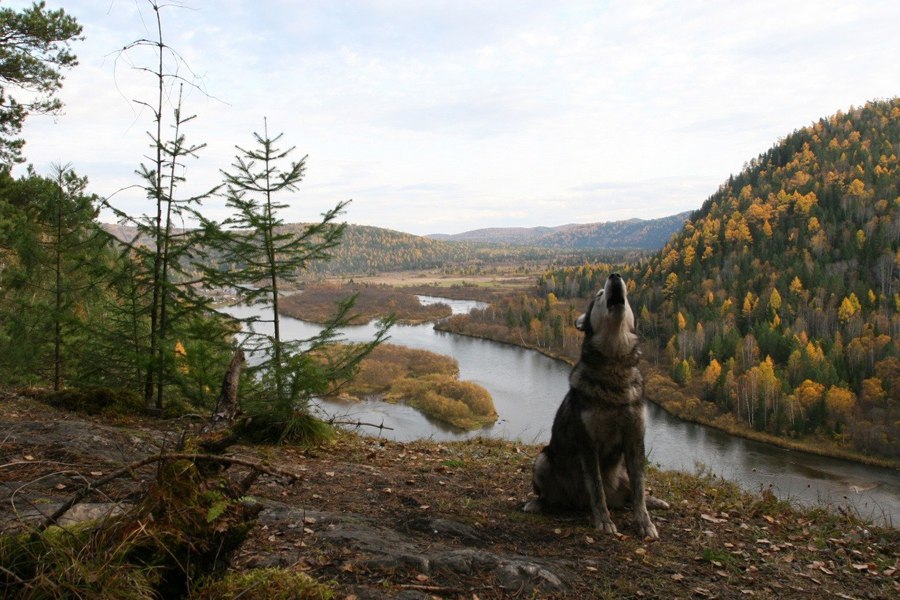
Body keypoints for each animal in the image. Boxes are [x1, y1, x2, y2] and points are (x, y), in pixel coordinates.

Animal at [524, 272, 664, 540]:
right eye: (599, 294)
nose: (615, 275)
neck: (614, 369)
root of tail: (577, 503)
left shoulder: (635, 439)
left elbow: (640, 488)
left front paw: (645, 523)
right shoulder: (589, 443)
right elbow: (597, 490)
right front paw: (604, 521)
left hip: (622, 474)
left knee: (631, 495)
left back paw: (656, 502)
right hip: (543, 460)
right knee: (550, 497)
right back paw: (538, 503)